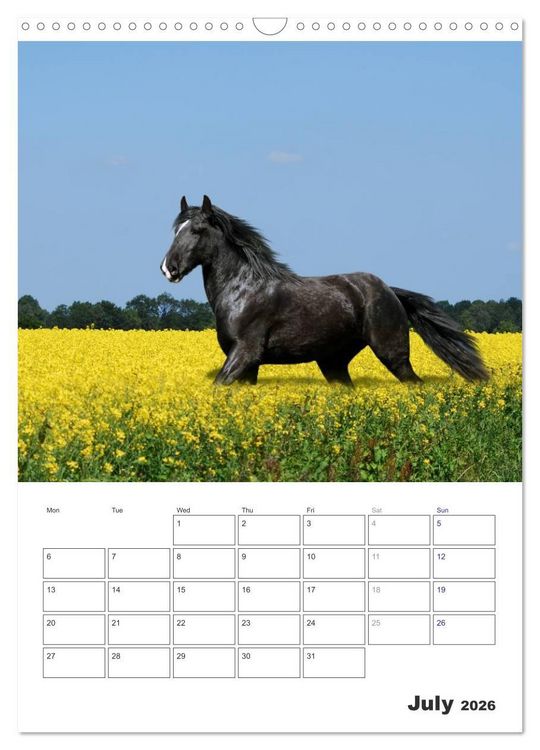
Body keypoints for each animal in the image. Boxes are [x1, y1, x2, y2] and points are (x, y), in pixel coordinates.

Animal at [160, 196, 488, 386]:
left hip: (392, 353)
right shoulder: (247, 364)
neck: (243, 291)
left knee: (414, 383)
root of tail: (390, 291)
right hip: (333, 362)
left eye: (197, 231)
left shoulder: (244, 354)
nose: (168, 268)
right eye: (176, 230)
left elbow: (218, 383)